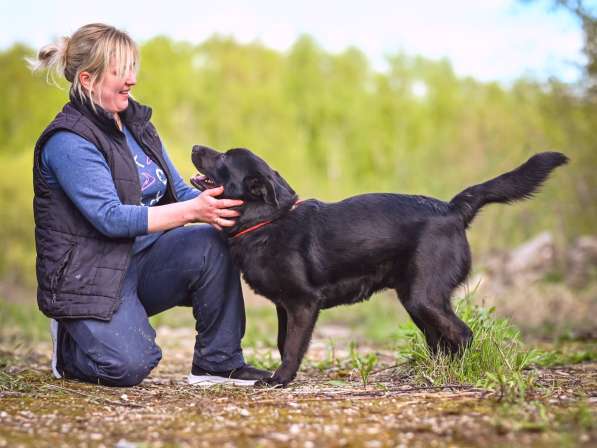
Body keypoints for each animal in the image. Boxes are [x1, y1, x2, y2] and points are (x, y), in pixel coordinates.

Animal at [191, 146, 568, 384]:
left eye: (222, 157)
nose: (195, 146)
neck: (267, 221)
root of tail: (452, 208)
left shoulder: (303, 304)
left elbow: (293, 348)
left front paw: (281, 380)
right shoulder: (285, 307)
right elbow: (284, 343)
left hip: (424, 297)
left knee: (462, 334)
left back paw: (455, 376)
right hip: (417, 299)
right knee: (440, 339)